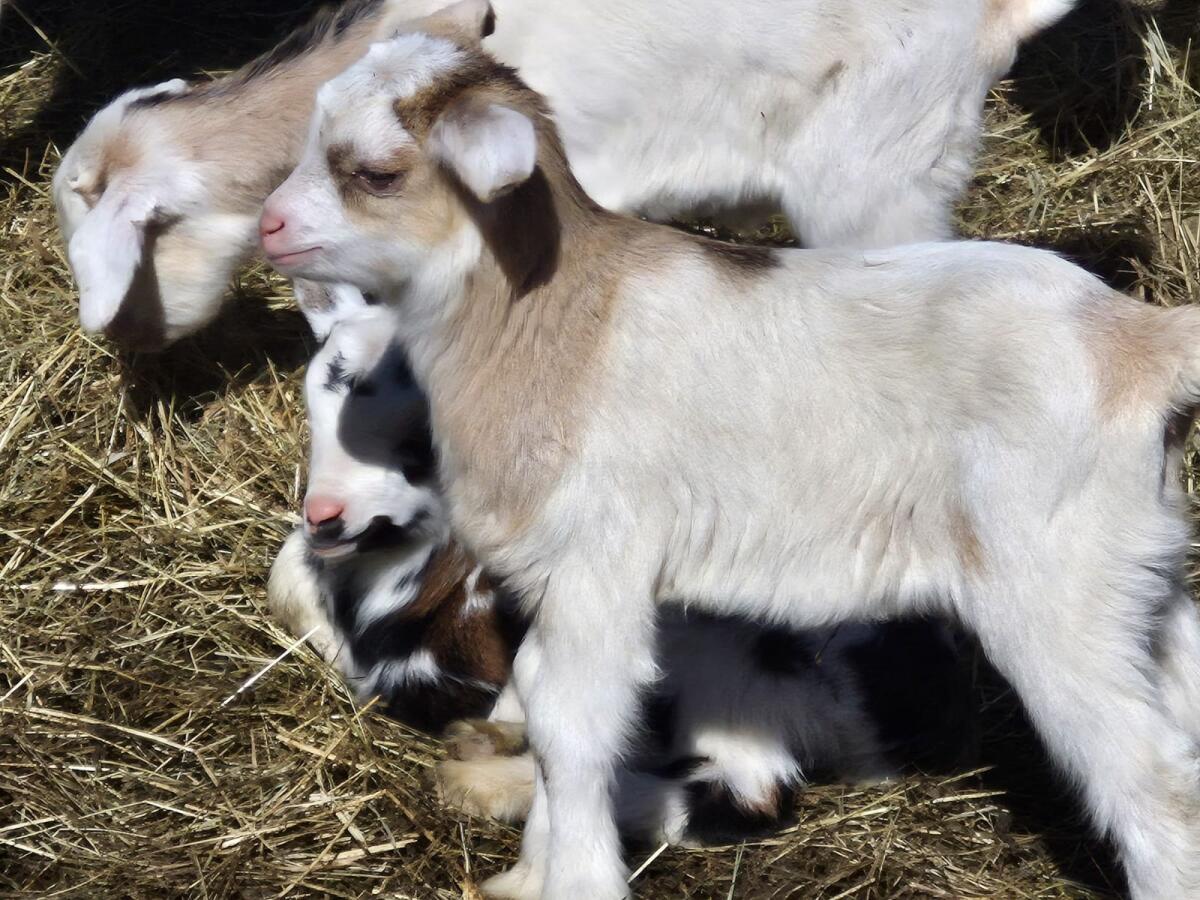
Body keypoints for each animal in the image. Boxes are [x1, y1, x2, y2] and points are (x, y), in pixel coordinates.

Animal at [260, 26, 1200, 900]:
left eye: (375, 172)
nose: (270, 224)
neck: (552, 321)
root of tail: (1139, 343)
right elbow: (539, 700)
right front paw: (529, 871)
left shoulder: (599, 561)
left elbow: (571, 725)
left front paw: (570, 878)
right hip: (1135, 571)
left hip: (1055, 591)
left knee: (1152, 788)